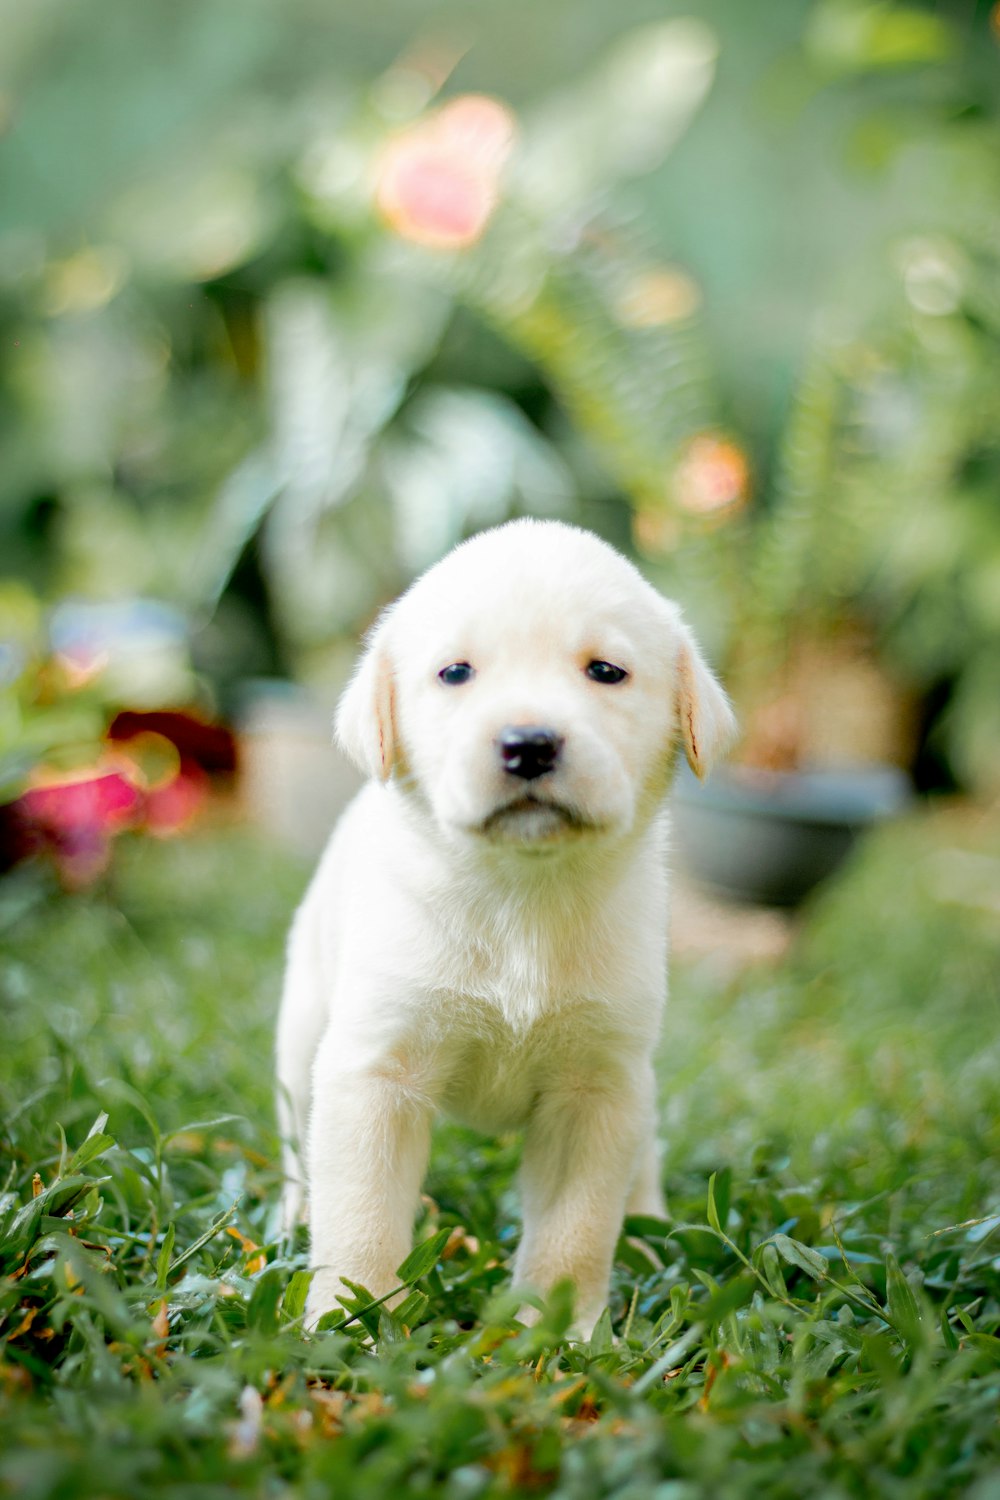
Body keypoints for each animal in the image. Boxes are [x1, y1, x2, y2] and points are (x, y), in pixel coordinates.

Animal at [275, 522, 734, 1332]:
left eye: (606, 671)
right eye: (455, 672)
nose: (529, 744)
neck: (523, 890)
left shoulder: (598, 1087)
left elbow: (576, 1232)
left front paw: (559, 1333)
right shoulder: (375, 1073)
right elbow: (361, 1215)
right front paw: (352, 1321)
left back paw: (648, 1235)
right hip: (303, 1038)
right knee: (300, 1149)